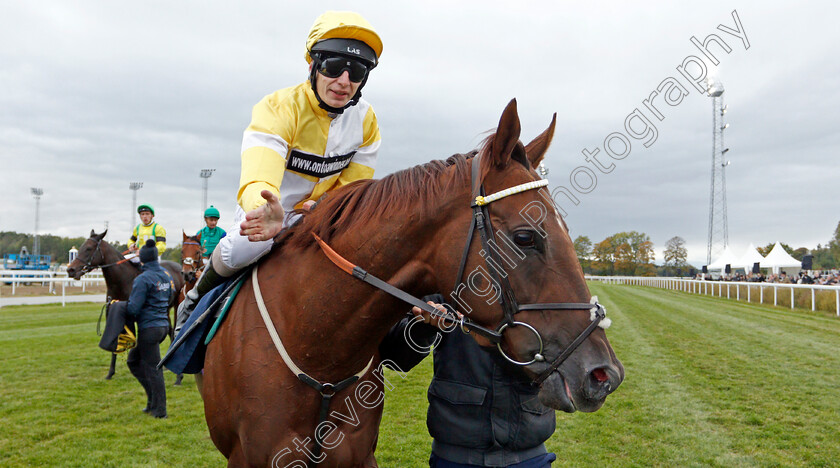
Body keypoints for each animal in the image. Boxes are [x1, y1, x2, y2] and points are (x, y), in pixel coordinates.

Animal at [68, 230, 187, 380]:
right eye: (81, 247)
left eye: (88, 249)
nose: (70, 270)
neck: (123, 281)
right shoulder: (113, 312)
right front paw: (110, 372)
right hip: (164, 310)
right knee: (170, 331)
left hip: (177, 306)